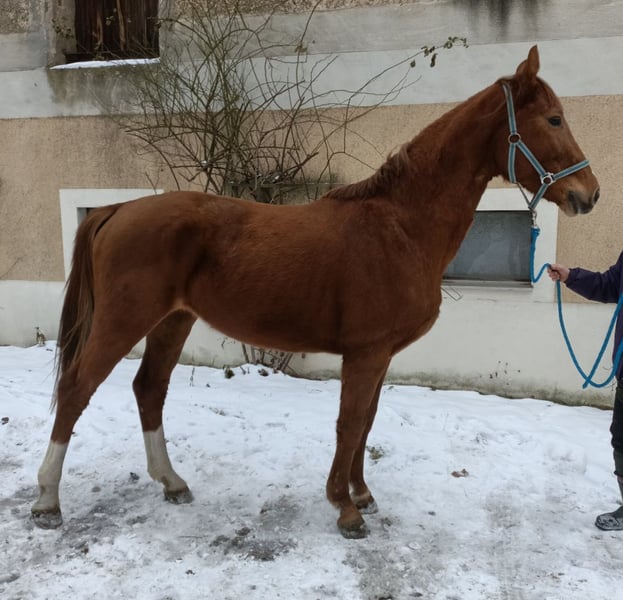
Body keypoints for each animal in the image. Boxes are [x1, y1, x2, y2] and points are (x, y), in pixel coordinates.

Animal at [32, 46, 599, 538]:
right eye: (553, 120)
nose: (589, 194)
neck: (400, 225)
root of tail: (118, 209)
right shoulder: (366, 353)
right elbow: (349, 424)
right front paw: (345, 509)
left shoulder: (381, 355)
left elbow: (367, 423)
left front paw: (362, 493)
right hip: (123, 320)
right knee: (76, 388)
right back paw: (47, 501)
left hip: (173, 320)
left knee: (149, 388)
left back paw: (171, 482)